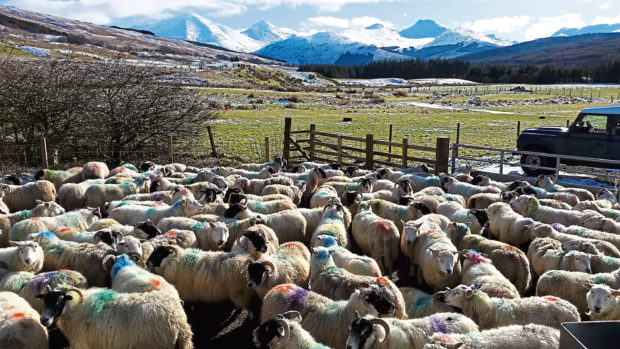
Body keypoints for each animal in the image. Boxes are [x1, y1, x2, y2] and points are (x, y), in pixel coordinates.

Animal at [36, 286, 191, 348]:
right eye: (45, 300)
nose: (44, 320)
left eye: (59, 301)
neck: (74, 308)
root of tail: (177, 322)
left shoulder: (82, 344)